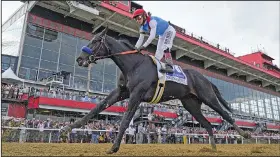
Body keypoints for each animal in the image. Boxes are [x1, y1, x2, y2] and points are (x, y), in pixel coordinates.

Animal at [63, 26, 252, 153]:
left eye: (95, 41)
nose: (80, 59)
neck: (133, 65)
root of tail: (205, 78)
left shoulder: (136, 95)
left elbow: (125, 120)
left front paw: (114, 147)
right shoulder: (121, 92)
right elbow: (96, 108)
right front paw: (68, 128)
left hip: (208, 97)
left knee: (225, 114)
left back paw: (245, 134)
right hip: (191, 104)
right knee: (207, 124)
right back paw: (212, 148)